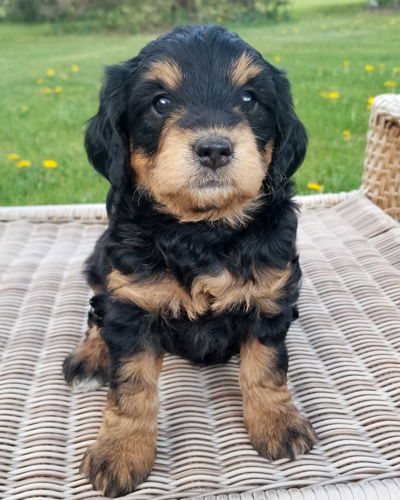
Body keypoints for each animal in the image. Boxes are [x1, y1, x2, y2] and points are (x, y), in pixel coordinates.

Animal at [63, 24, 317, 497]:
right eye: (160, 102)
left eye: (249, 98)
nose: (214, 149)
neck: (202, 231)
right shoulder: (132, 306)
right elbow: (131, 386)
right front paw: (120, 450)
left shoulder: (270, 297)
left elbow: (266, 367)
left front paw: (277, 421)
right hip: (103, 266)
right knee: (95, 313)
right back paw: (90, 356)